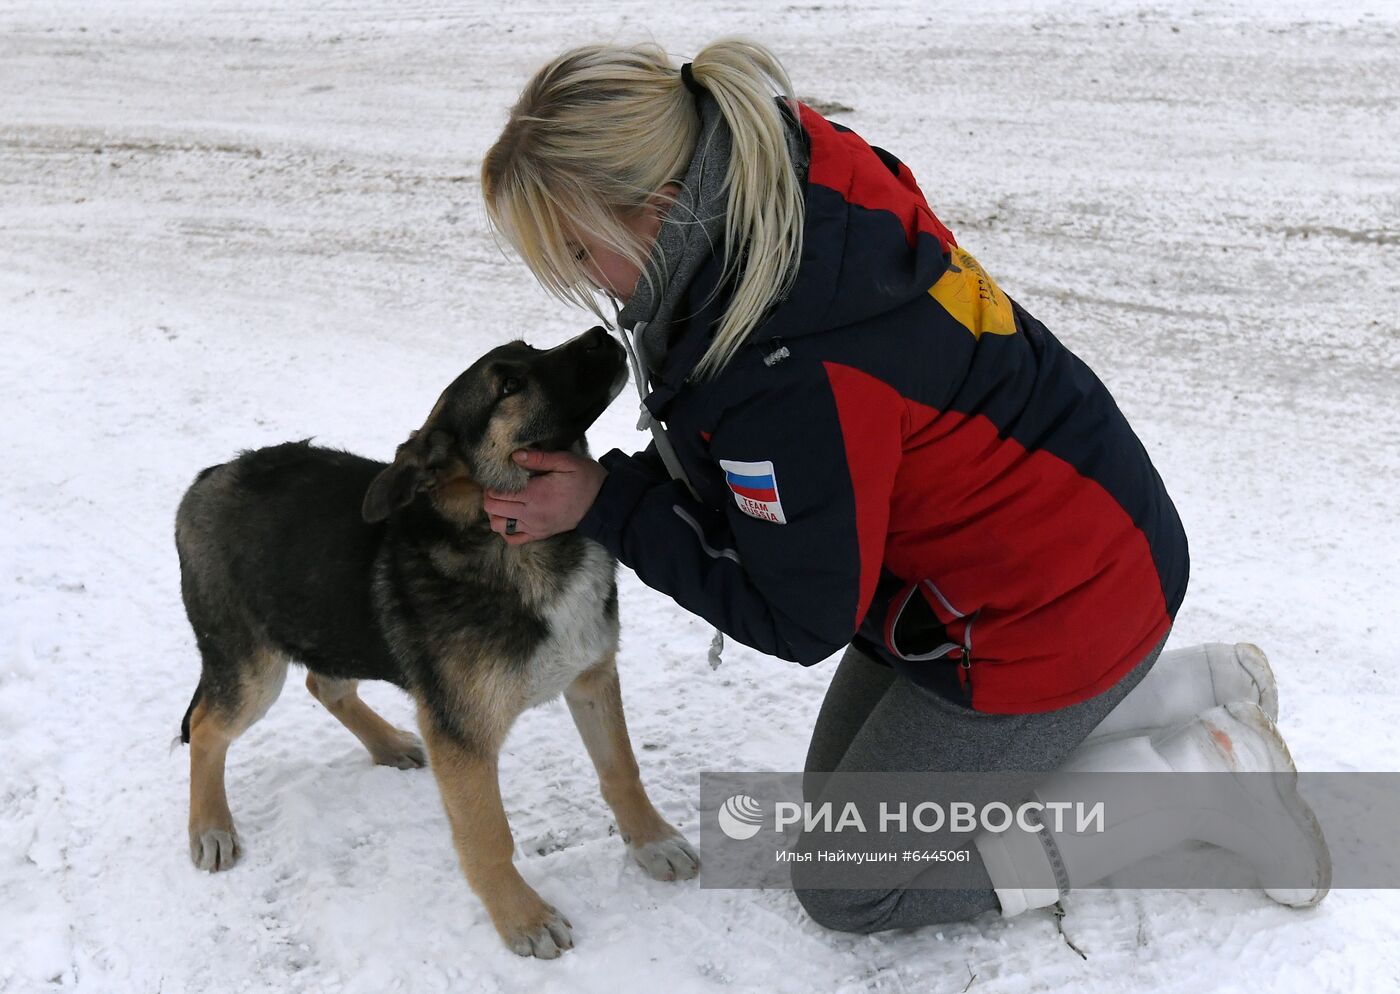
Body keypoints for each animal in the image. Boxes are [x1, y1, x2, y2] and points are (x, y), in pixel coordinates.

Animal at [175, 327, 700, 957]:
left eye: (530, 347)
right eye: (508, 385)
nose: (602, 333)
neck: (518, 544)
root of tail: (207, 478)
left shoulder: (591, 676)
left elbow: (622, 768)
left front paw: (652, 841)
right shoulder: (461, 733)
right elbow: (488, 836)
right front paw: (522, 918)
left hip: (331, 623)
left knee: (324, 685)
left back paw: (386, 744)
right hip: (253, 668)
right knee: (209, 725)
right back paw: (211, 826)